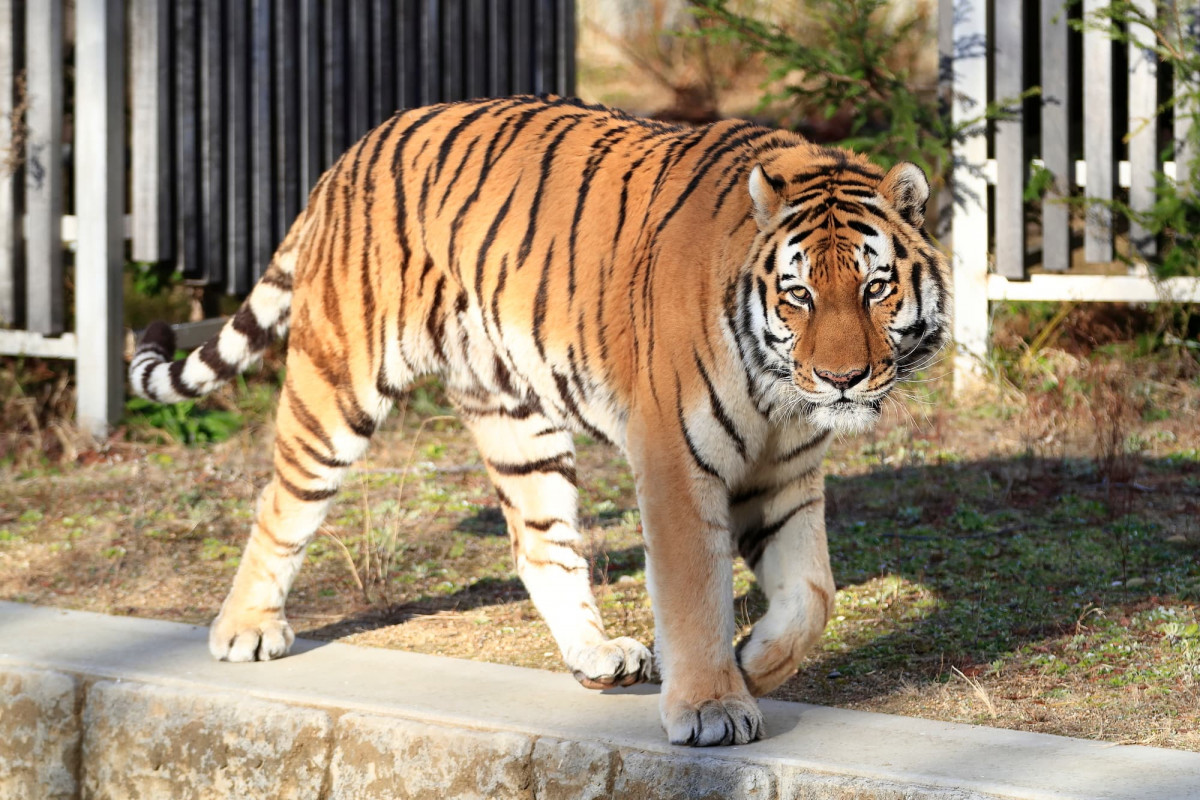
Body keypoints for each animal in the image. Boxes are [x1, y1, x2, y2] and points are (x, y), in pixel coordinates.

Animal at [129, 95, 945, 753]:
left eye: (875, 287)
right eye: (799, 294)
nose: (842, 379)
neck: (780, 395)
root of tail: (355, 149)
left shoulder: (785, 474)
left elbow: (812, 595)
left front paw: (751, 664)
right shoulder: (676, 461)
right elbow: (693, 591)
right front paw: (712, 706)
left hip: (517, 421)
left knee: (538, 542)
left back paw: (599, 656)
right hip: (337, 381)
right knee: (281, 502)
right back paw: (244, 628)